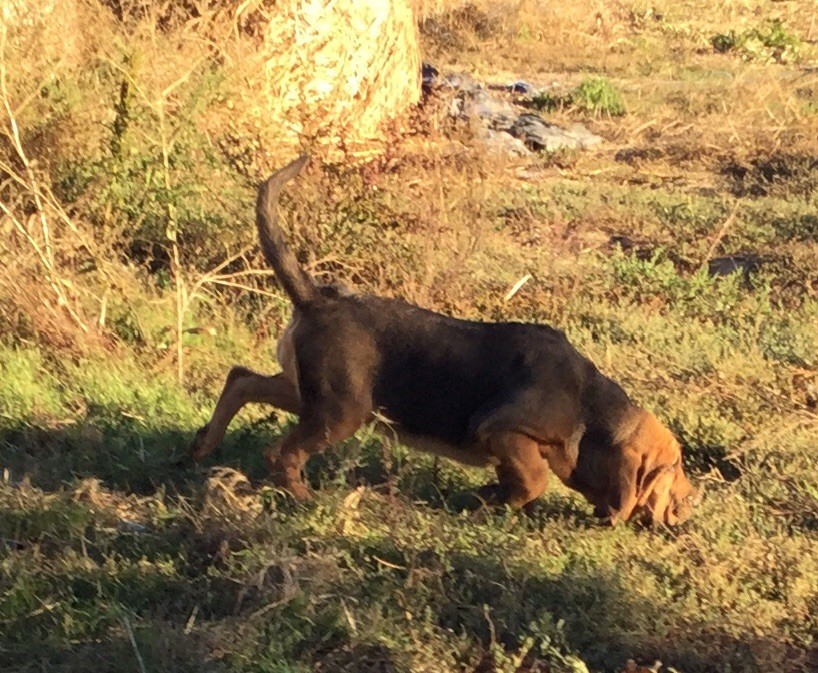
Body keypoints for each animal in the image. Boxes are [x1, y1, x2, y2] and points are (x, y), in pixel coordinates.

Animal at [188, 154, 700, 524]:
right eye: (671, 471)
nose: (690, 503)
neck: (592, 413)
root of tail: (315, 298)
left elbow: (519, 482)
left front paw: (489, 497)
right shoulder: (504, 430)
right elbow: (533, 480)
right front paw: (490, 504)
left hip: (308, 394)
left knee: (241, 379)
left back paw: (203, 445)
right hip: (340, 411)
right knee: (281, 452)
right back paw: (305, 499)